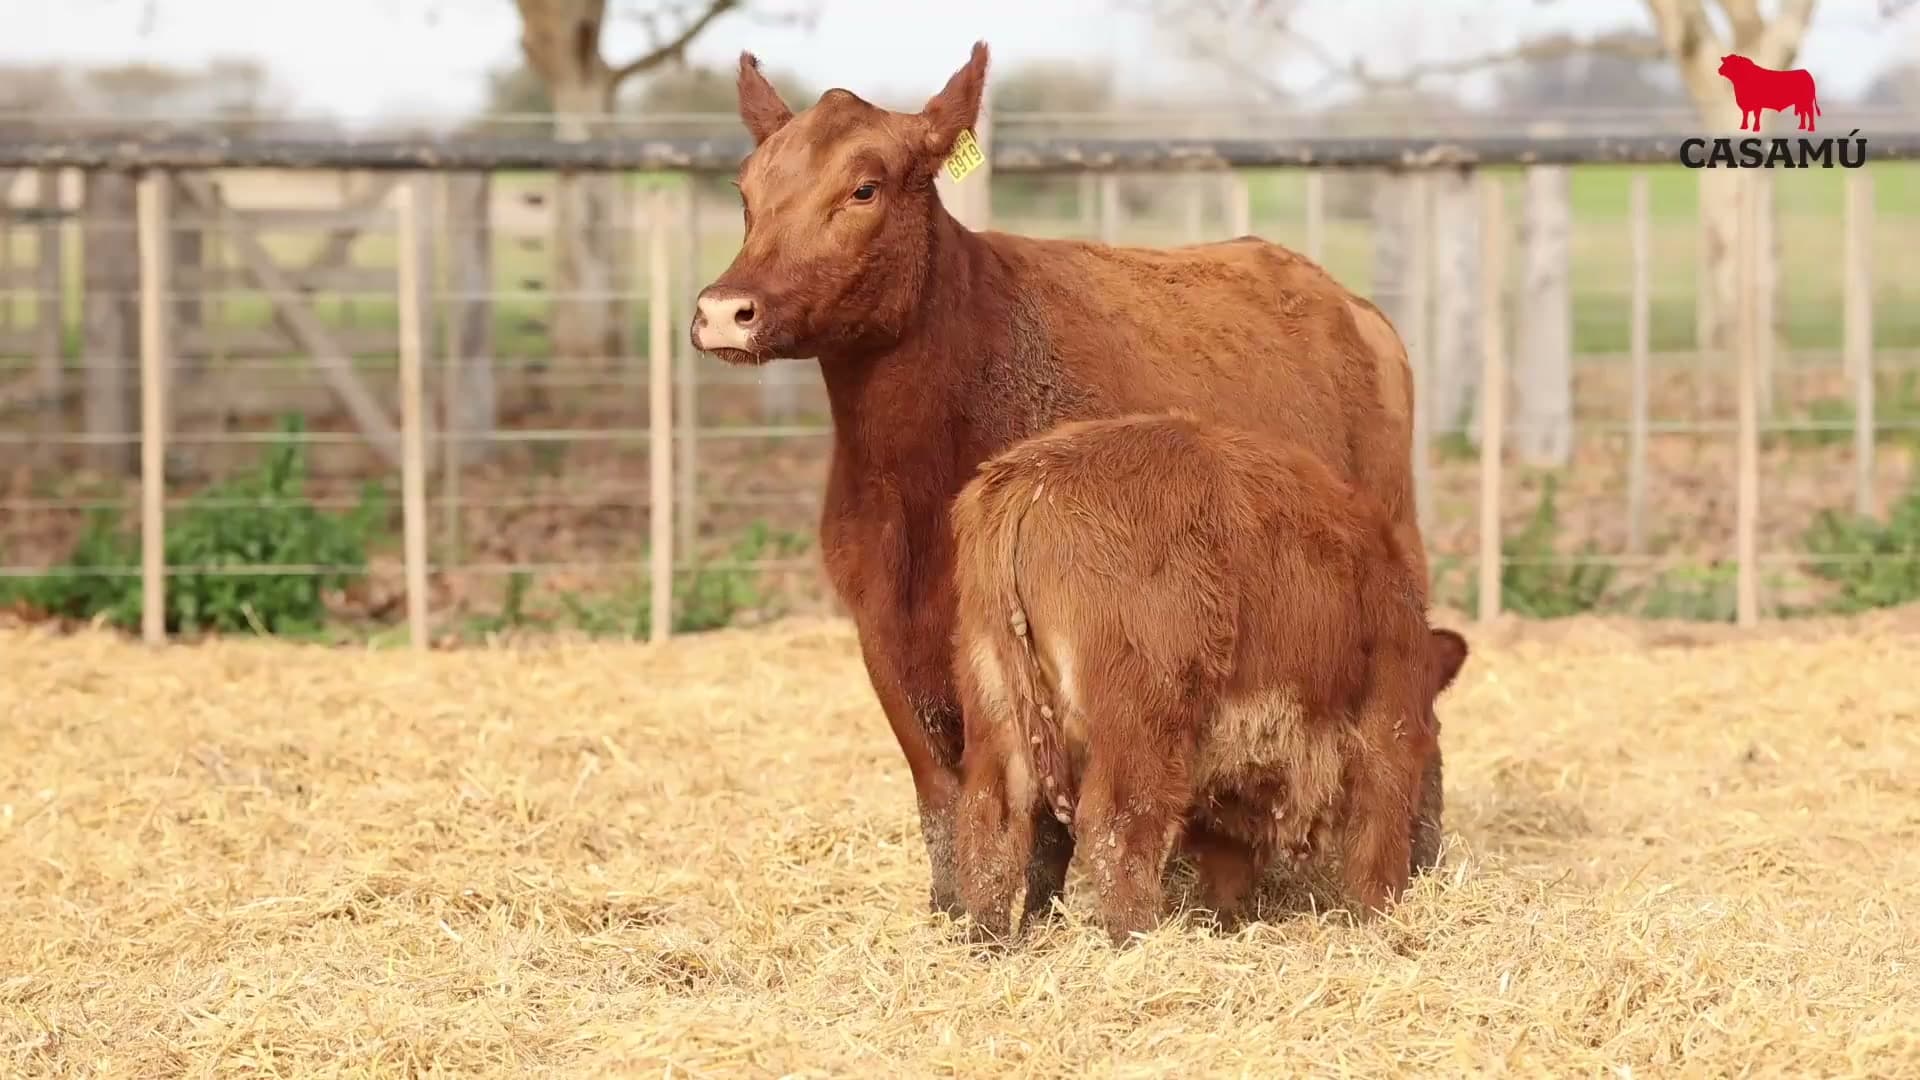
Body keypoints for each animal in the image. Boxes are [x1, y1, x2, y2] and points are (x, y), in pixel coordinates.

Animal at [947, 412, 1467, 945]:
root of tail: (1029, 480)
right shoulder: (1387, 733)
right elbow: (1376, 839)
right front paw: (1382, 916)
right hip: (1142, 725)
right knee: (1117, 825)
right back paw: (1140, 935)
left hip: (998, 712)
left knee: (991, 819)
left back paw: (986, 940)